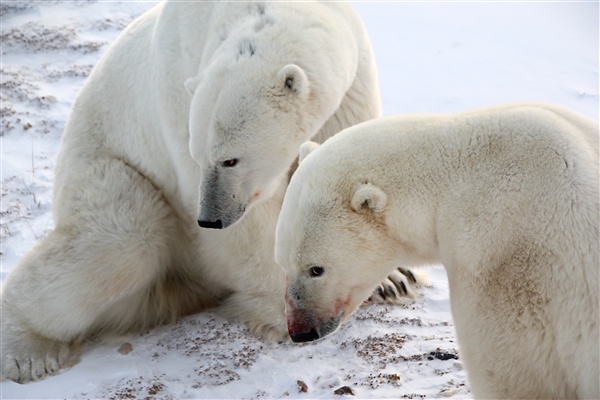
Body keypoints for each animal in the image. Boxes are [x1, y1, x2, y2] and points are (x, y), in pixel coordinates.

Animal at [0, 0, 426, 382]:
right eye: (200, 155)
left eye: (230, 159)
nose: (209, 218)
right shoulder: (179, 99)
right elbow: (247, 231)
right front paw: (290, 311)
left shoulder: (351, 82)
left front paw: (391, 279)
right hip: (106, 172)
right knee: (123, 240)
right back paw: (28, 353)